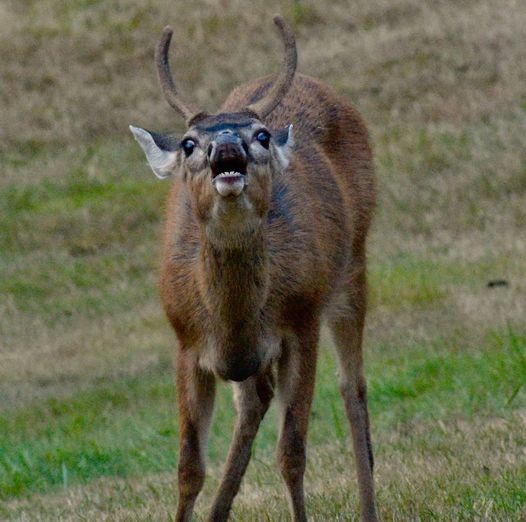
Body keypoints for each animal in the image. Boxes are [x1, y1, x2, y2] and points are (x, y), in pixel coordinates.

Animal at [132, 14, 380, 516]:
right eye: (189, 143)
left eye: (261, 135)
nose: (227, 145)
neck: (233, 319)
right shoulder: (186, 343)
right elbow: (188, 468)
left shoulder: (301, 325)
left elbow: (292, 454)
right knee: (255, 397)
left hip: (353, 267)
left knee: (353, 388)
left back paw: (369, 509)